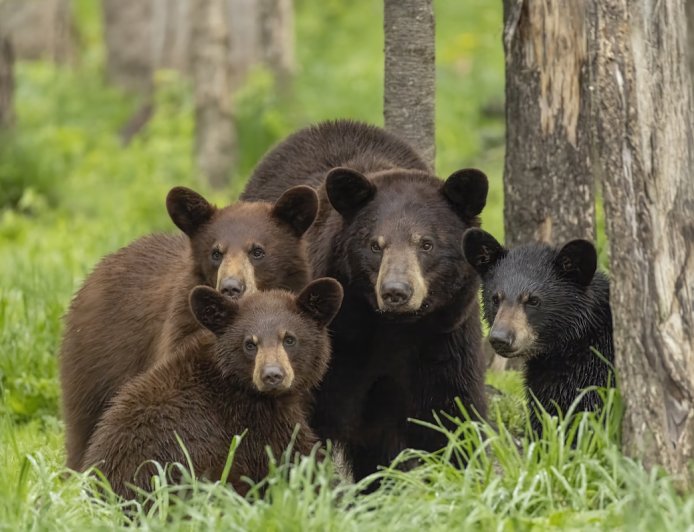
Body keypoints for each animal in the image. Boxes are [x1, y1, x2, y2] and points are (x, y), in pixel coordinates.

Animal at [242, 120, 489, 483]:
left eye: (426, 243)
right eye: (376, 244)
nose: (396, 291)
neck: (391, 330)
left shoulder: (445, 340)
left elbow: (453, 417)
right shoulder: (329, 342)